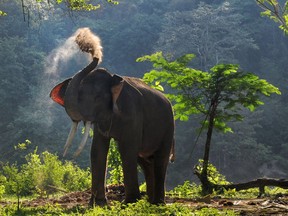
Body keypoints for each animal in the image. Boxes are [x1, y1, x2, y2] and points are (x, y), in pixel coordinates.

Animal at [49, 27, 174, 206]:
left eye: (96, 98)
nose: (84, 43)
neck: (114, 79)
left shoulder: (133, 112)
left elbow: (127, 150)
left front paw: (129, 203)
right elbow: (97, 150)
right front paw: (98, 204)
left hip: (169, 126)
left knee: (159, 159)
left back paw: (157, 203)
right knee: (145, 161)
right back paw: (150, 202)